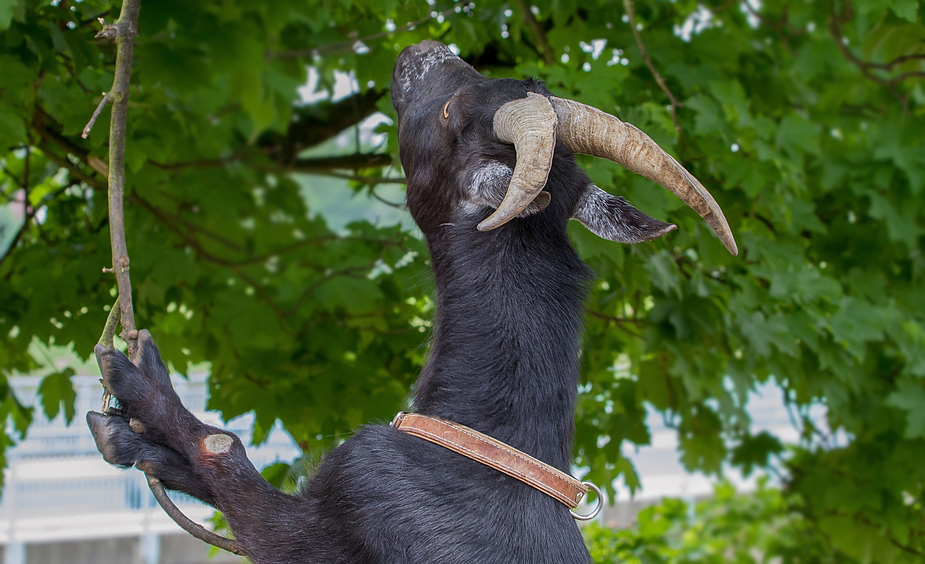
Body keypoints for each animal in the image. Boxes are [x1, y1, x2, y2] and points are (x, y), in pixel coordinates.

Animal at [88, 40, 736, 564]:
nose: (426, 46)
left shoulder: (327, 522)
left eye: (452, 114)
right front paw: (135, 442)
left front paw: (140, 382)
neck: (481, 444)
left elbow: (225, 455)